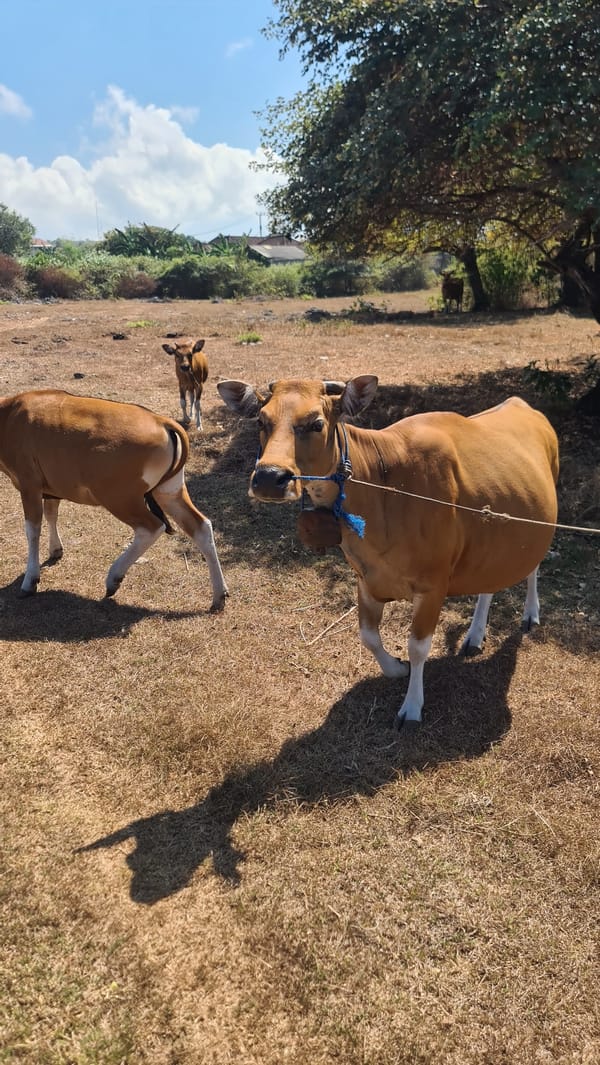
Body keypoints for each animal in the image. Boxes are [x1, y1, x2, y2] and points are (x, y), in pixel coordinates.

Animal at [0, 389, 228, 611]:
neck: (9, 413)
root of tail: (161, 421)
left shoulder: (29, 486)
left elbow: (32, 530)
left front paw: (30, 580)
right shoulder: (51, 490)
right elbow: (51, 514)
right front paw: (55, 550)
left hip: (119, 499)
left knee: (152, 528)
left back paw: (114, 577)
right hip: (170, 493)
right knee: (201, 527)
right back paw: (219, 595)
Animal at [218, 376, 559, 727]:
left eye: (316, 423)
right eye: (261, 421)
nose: (268, 478)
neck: (384, 484)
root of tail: (524, 406)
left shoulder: (432, 586)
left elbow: (418, 646)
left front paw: (412, 706)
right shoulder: (366, 579)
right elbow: (368, 635)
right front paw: (395, 668)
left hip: (540, 524)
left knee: (533, 567)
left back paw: (530, 614)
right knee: (489, 584)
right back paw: (475, 635)